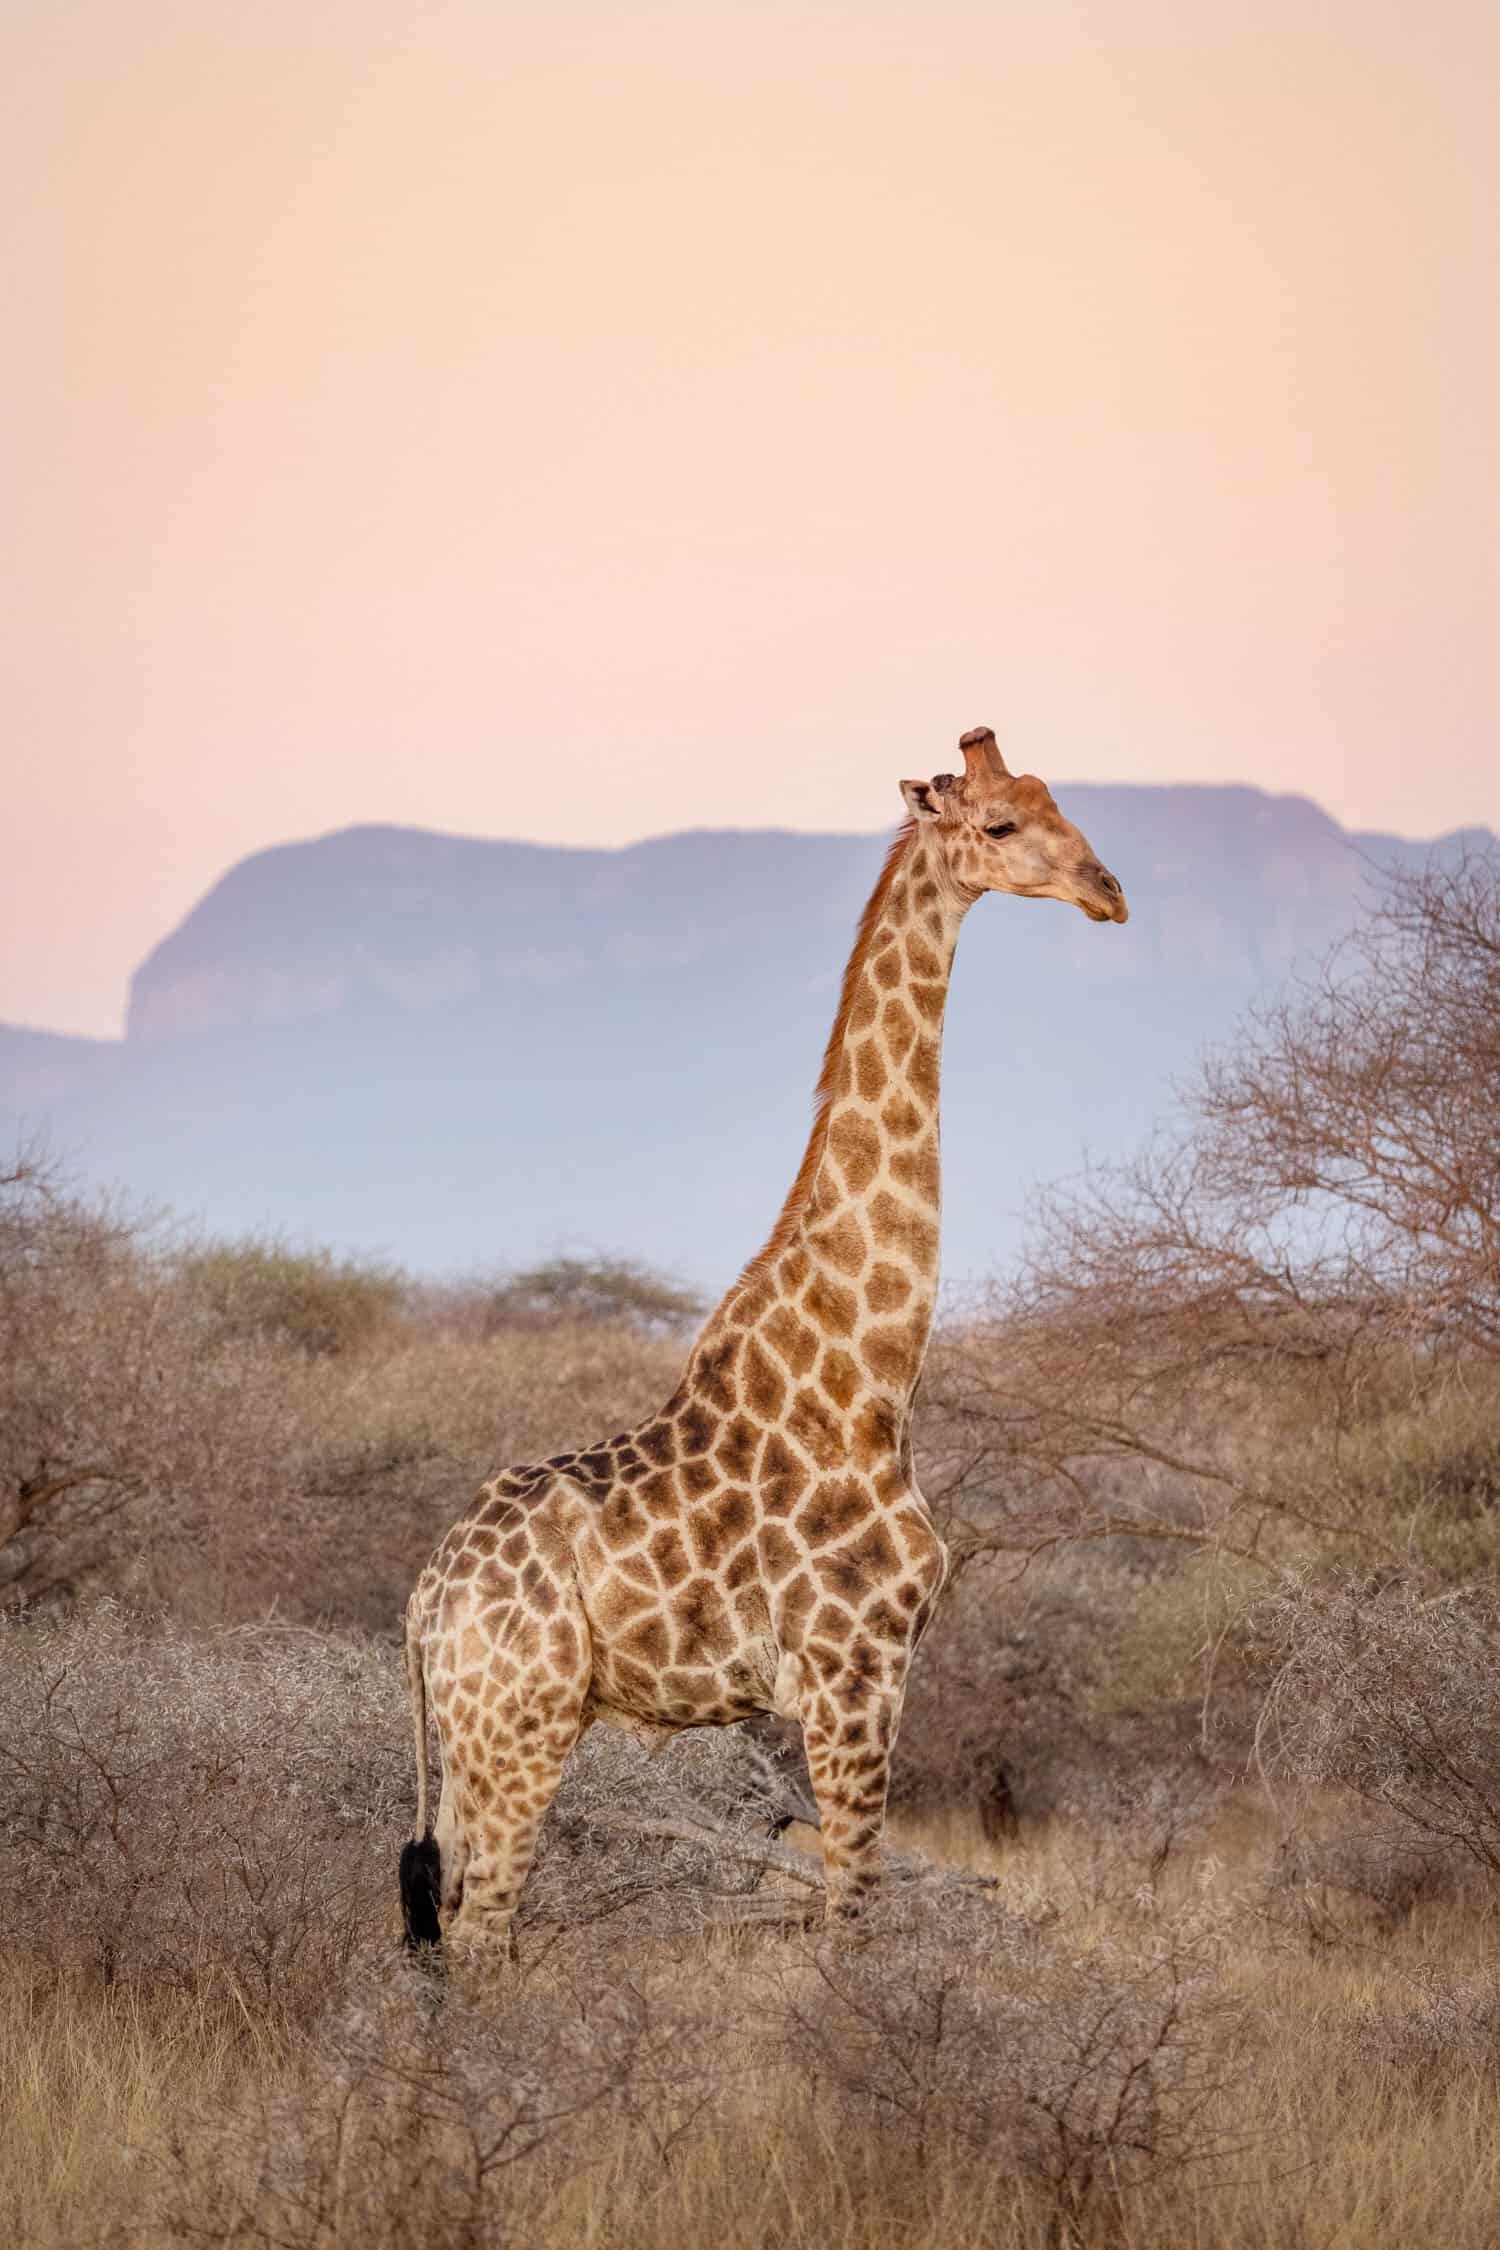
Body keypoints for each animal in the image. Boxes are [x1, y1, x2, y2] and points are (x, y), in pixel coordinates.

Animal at [398, 724, 1124, 1953]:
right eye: (1001, 824)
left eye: (1057, 800)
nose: (1108, 891)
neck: (872, 1370)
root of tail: (422, 1606)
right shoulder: (853, 1673)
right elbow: (853, 1922)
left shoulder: (858, 1680)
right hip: (521, 1725)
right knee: (484, 1935)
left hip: (479, 1740)